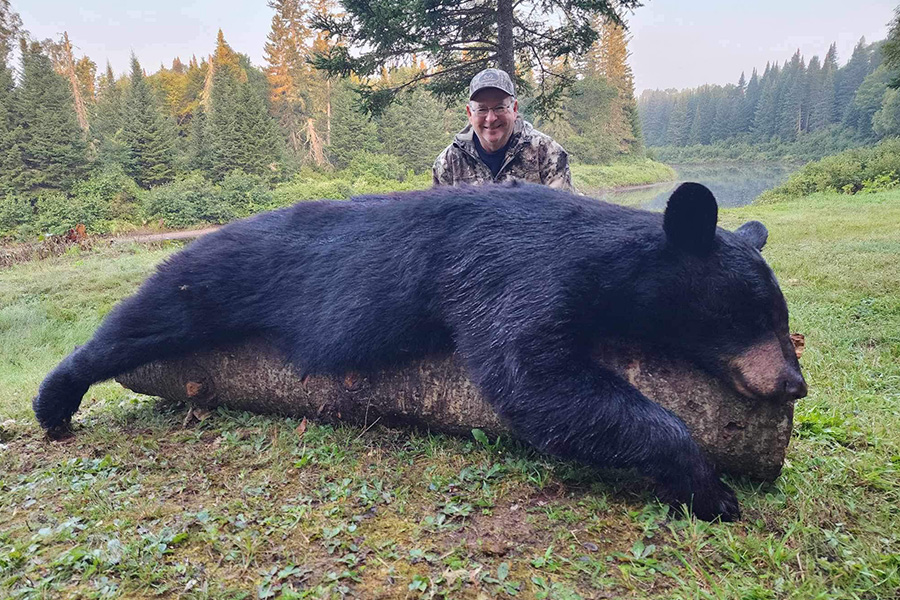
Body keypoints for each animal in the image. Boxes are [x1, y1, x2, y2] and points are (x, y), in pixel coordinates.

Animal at [33, 181, 807, 521]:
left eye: (781, 314)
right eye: (755, 314)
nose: (794, 383)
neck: (605, 260)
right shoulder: (512, 272)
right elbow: (533, 376)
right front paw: (711, 488)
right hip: (216, 276)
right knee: (141, 320)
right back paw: (54, 401)